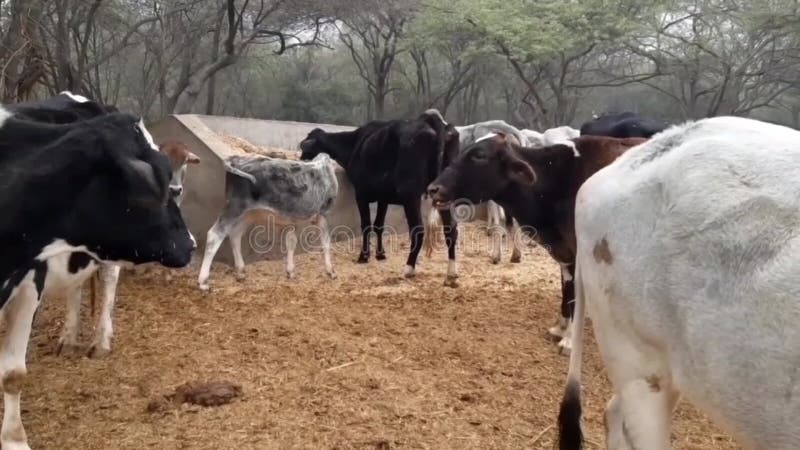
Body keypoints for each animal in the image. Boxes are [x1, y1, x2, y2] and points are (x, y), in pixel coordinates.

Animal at [0, 103, 194, 450]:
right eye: (156, 186)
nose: (191, 244)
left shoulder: (28, 283)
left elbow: (12, 373)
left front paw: (14, 440)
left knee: (107, 281)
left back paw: (99, 340)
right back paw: (68, 338)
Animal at [200, 153, 340, 290]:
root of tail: (237, 158)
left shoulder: (291, 216)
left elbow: (291, 242)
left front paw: (290, 271)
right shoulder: (324, 212)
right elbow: (326, 242)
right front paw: (331, 271)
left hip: (248, 213)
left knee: (235, 234)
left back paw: (240, 271)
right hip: (235, 207)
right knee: (214, 234)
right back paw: (203, 281)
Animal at [298, 109, 462, 284]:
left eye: (306, 148)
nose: (300, 159)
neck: (354, 144)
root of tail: (429, 120)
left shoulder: (361, 194)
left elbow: (366, 225)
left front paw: (363, 256)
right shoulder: (384, 197)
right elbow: (378, 225)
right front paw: (380, 254)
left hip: (410, 194)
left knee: (418, 230)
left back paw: (409, 269)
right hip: (443, 194)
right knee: (451, 230)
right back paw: (451, 272)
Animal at [428, 132, 648, 354]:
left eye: (479, 155)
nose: (433, 188)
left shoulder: (579, 251)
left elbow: (575, 295)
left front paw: (569, 341)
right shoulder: (564, 253)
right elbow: (566, 289)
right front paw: (560, 328)